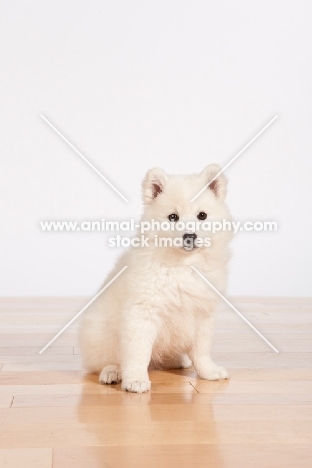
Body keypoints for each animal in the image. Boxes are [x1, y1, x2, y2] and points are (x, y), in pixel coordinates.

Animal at [79, 165, 233, 392]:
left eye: (202, 215)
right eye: (173, 217)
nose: (190, 236)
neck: (182, 265)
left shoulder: (202, 314)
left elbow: (202, 349)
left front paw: (208, 371)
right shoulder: (142, 313)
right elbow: (138, 353)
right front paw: (135, 380)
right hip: (101, 333)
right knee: (104, 361)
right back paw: (112, 372)